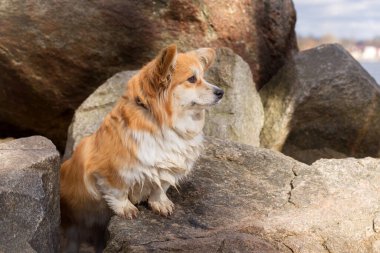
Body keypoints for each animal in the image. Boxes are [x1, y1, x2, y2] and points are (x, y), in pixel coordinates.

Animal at [59, 44, 223, 252]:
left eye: (203, 76)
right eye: (192, 79)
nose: (221, 92)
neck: (163, 125)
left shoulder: (167, 169)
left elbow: (160, 187)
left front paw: (160, 204)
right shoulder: (107, 172)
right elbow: (118, 191)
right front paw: (126, 208)